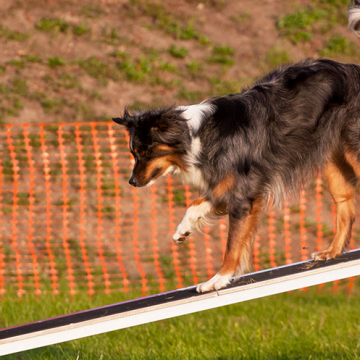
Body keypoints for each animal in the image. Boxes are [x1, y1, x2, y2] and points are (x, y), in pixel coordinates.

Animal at [114, 1, 360, 292]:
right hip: (334, 162)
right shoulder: (228, 186)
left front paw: (218, 279)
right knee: (346, 206)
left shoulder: (243, 198)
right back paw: (331, 252)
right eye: (133, 153)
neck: (198, 136)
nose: (131, 182)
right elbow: (196, 204)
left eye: (143, 152)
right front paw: (183, 230)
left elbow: (232, 245)